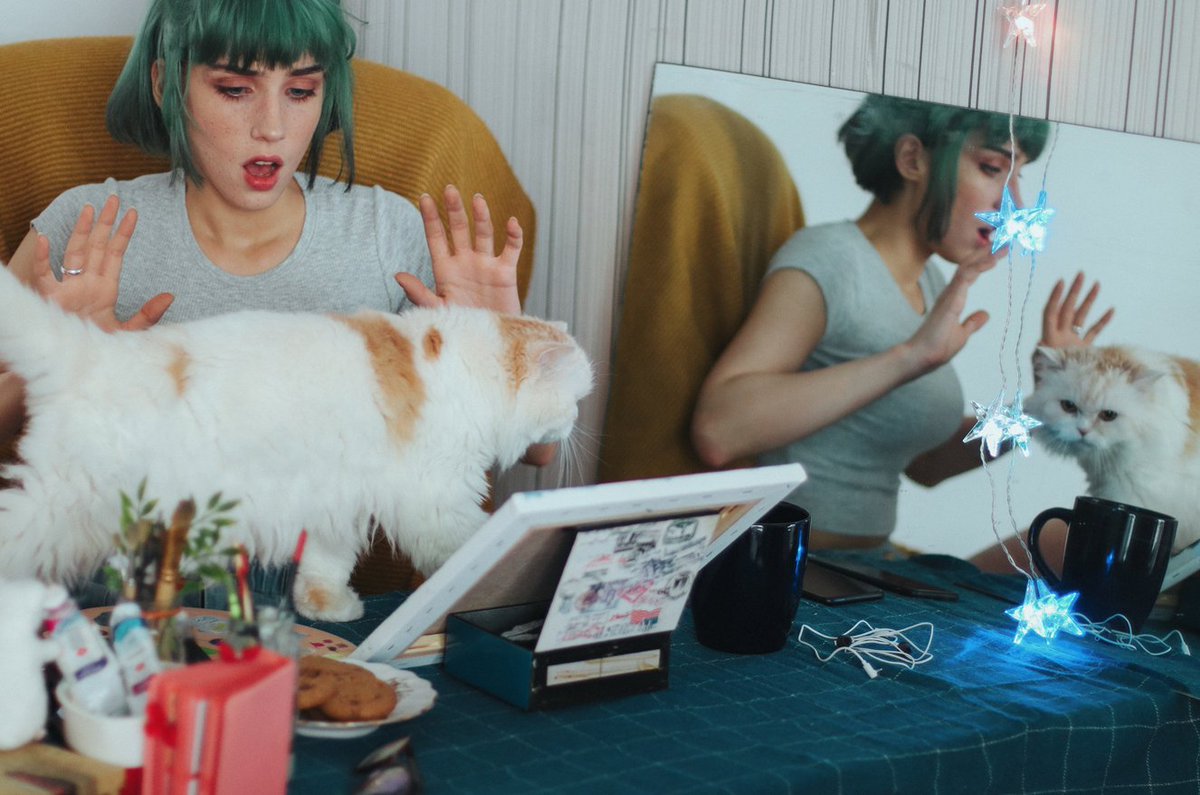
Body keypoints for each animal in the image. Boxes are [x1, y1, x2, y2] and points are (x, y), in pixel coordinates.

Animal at [0, 264, 592, 621]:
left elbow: (325, 566)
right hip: (73, 506)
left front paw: (325, 606)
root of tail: (95, 352)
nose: (575, 425)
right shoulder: (434, 497)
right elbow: (471, 539)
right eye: (575, 398)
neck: (464, 366)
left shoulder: (336, 497)